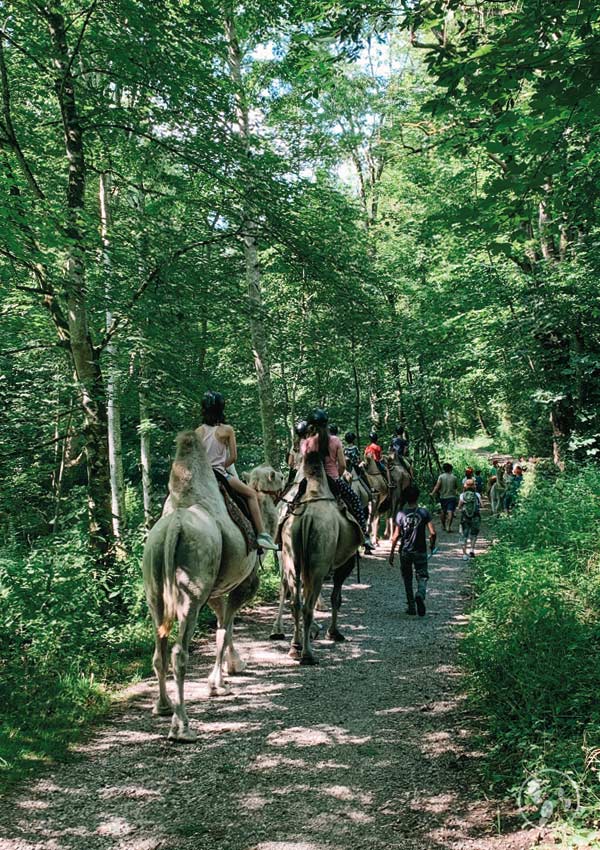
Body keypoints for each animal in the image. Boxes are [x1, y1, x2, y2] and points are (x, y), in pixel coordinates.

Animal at [144, 434, 278, 740]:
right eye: (275, 477)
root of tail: (173, 528)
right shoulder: (245, 583)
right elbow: (224, 629)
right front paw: (218, 683)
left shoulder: (214, 590)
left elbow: (223, 624)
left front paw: (232, 667)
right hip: (192, 584)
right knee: (179, 652)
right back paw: (182, 726)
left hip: (154, 585)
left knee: (159, 649)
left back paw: (162, 706)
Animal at [276, 450, 360, 664]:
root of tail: (306, 517)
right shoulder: (345, 563)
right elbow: (336, 597)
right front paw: (334, 633)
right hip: (319, 562)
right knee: (307, 605)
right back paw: (307, 654)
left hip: (291, 554)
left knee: (295, 602)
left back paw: (295, 647)